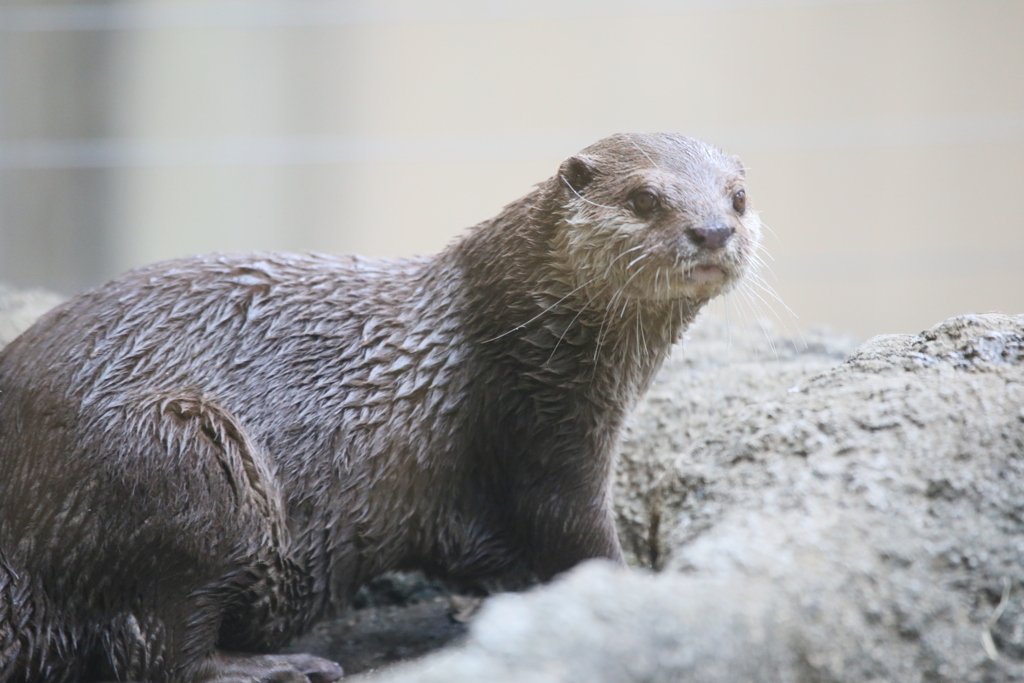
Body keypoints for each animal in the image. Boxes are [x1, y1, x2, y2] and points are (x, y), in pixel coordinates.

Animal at [0, 131, 753, 679]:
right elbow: (576, 537)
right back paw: (281, 664)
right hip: (178, 457)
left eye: (739, 197)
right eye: (645, 198)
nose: (713, 231)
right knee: (158, 650)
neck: (513, 327)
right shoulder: (542, 431)